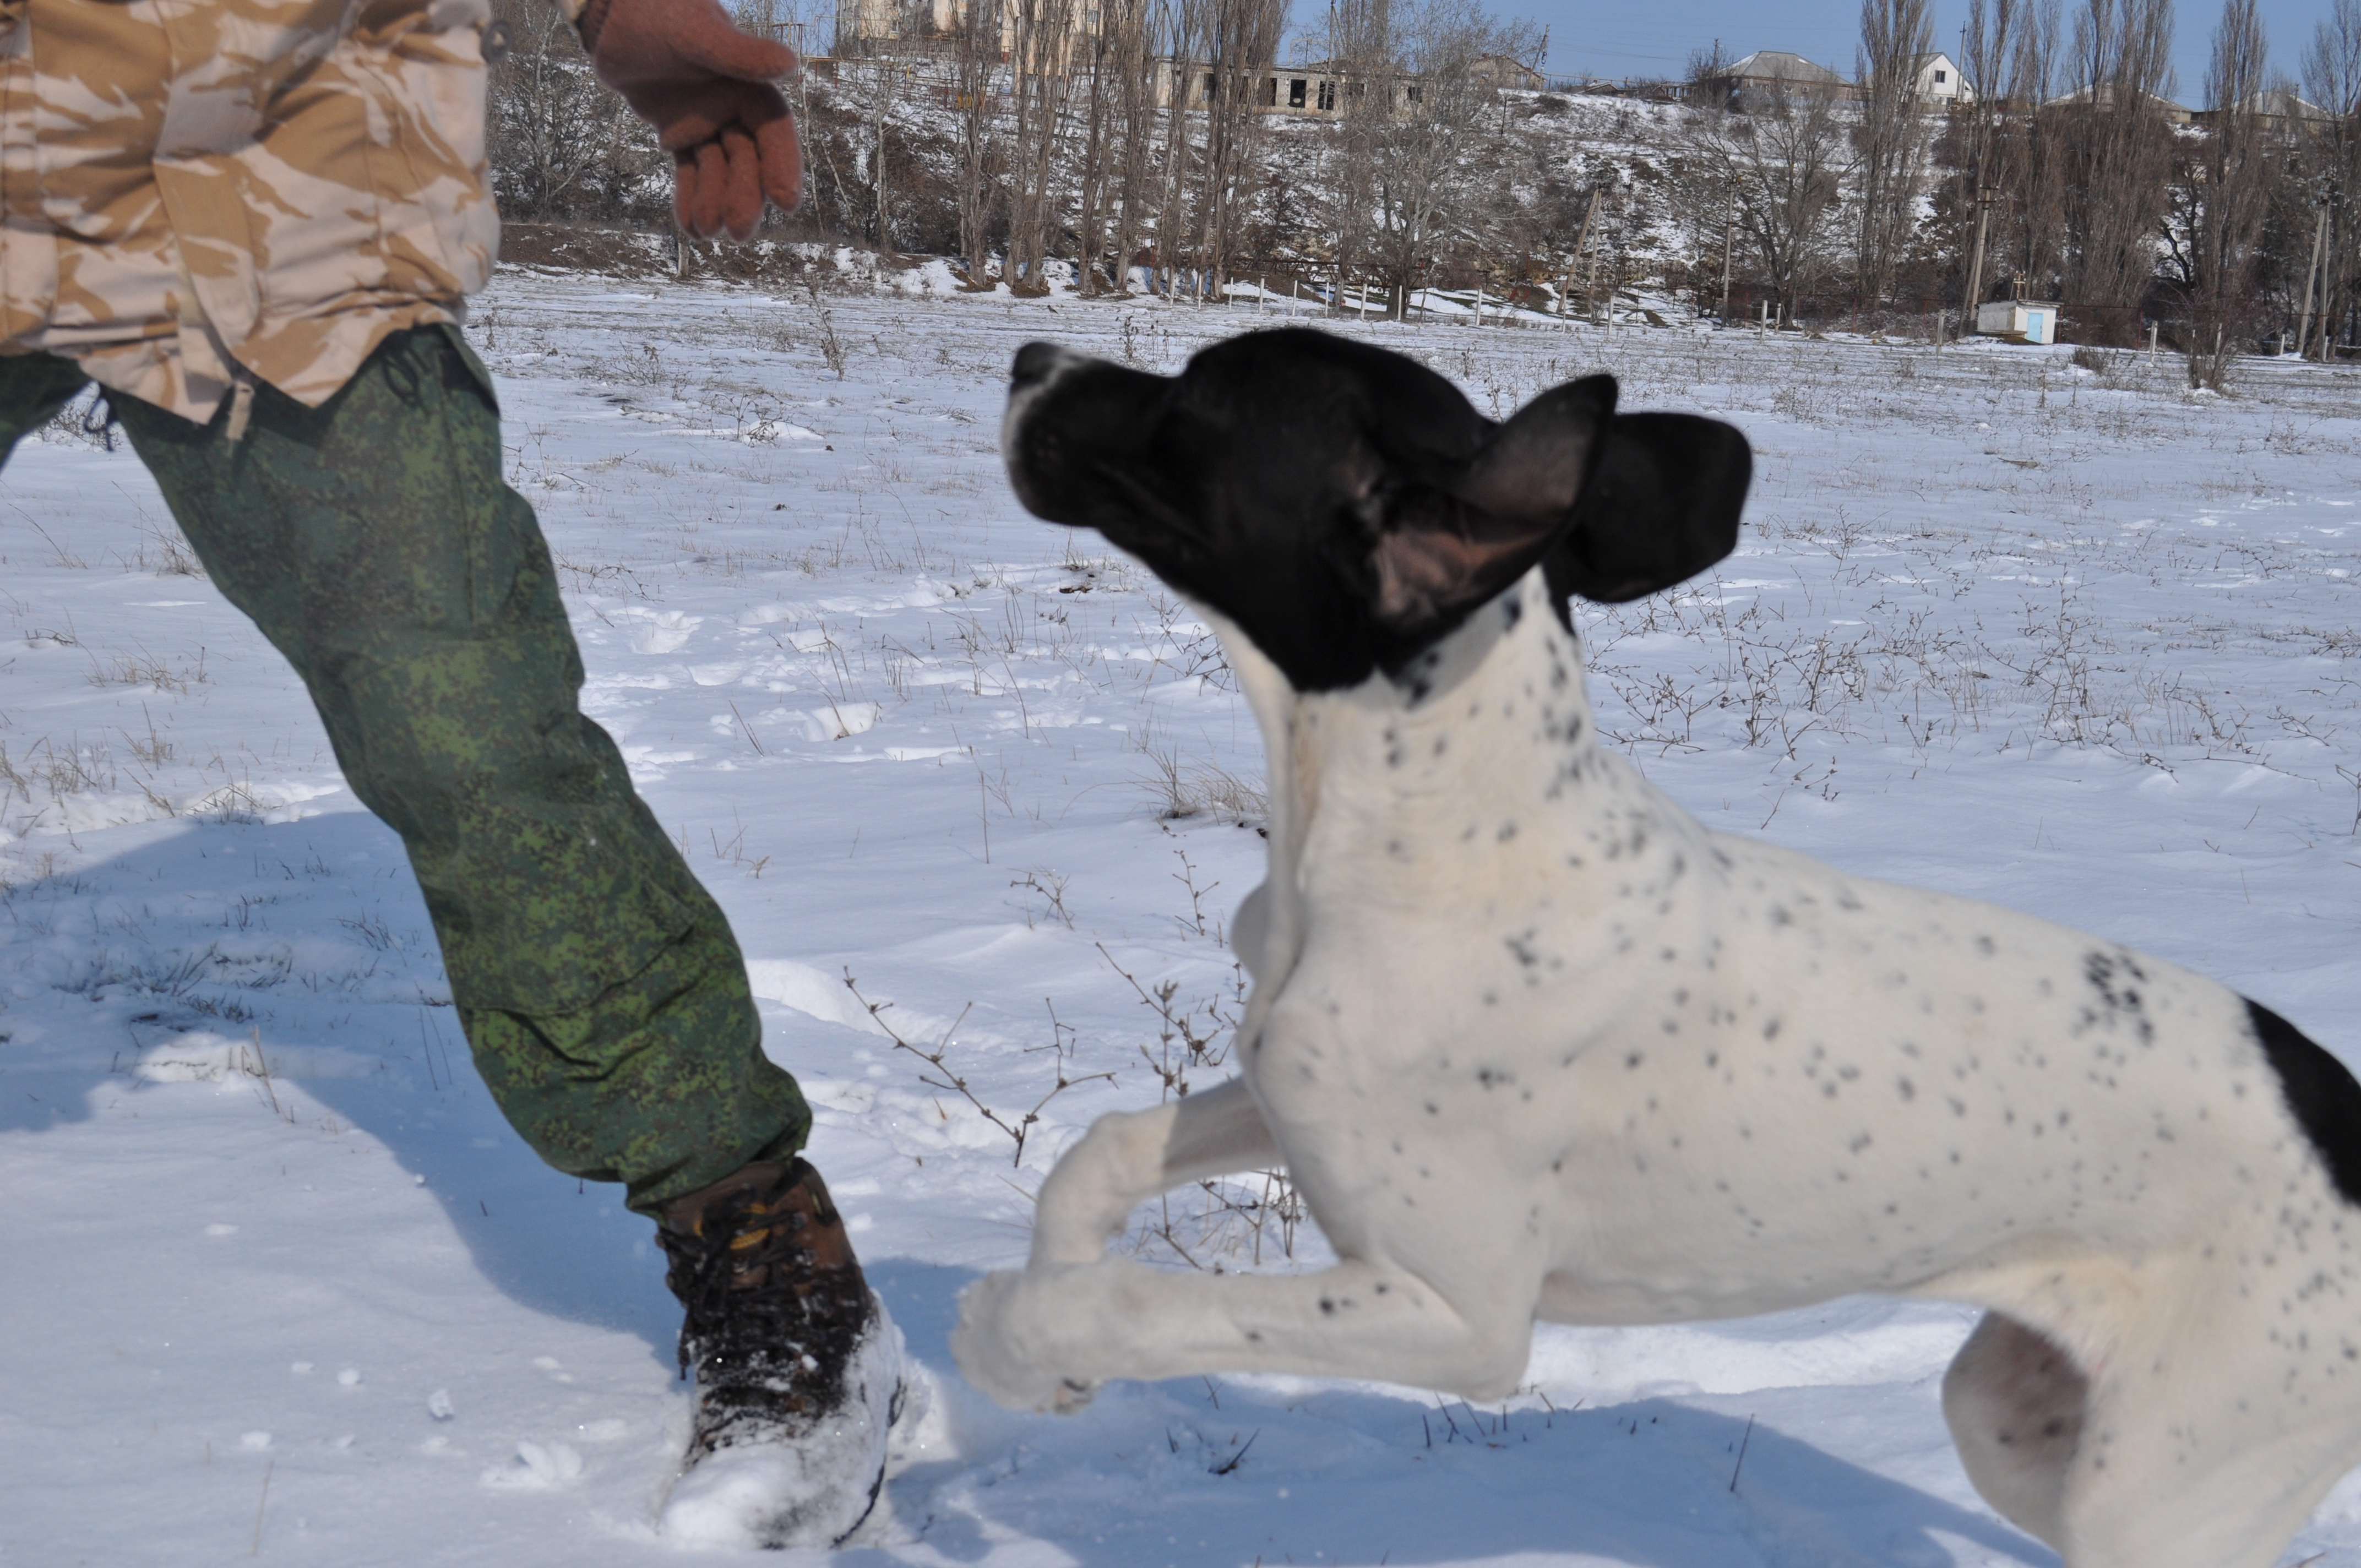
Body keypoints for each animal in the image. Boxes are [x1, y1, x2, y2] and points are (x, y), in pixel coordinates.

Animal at [949, 327, 2361, 1568]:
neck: (1427, 826)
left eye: (1198, 396)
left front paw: (1019, 1334)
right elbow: (1101, 1149)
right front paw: (1052, 1332)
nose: (1027, 360)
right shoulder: (1287, 1093)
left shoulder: (1454, 1314)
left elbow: (1138, 1298)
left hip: (2160, 1490)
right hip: (2015, 1422)